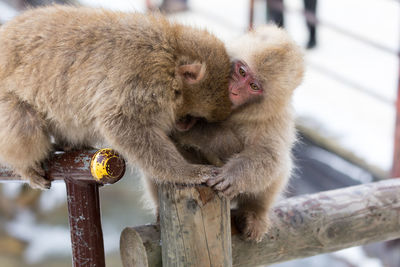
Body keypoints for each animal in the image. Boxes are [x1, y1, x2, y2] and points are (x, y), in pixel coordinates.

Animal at [0, 6, 231, 191]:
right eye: (191, 116)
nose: (183, 125)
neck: (171, 53)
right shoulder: (141, 77)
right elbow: (123, 125)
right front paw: (187, 172)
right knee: (25, 125)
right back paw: (24, 166)